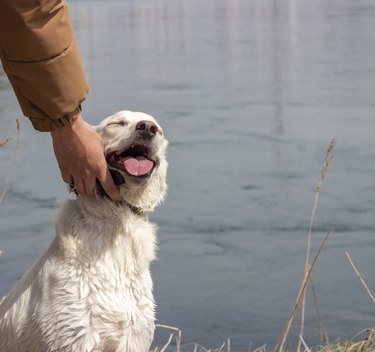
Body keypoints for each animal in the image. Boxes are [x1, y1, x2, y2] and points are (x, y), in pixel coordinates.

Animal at [0, 111, 168, 352]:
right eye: (117, 123)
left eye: (159, 130)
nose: (147, 128)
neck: (116, 222)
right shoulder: (73, 336)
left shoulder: (134, 338)